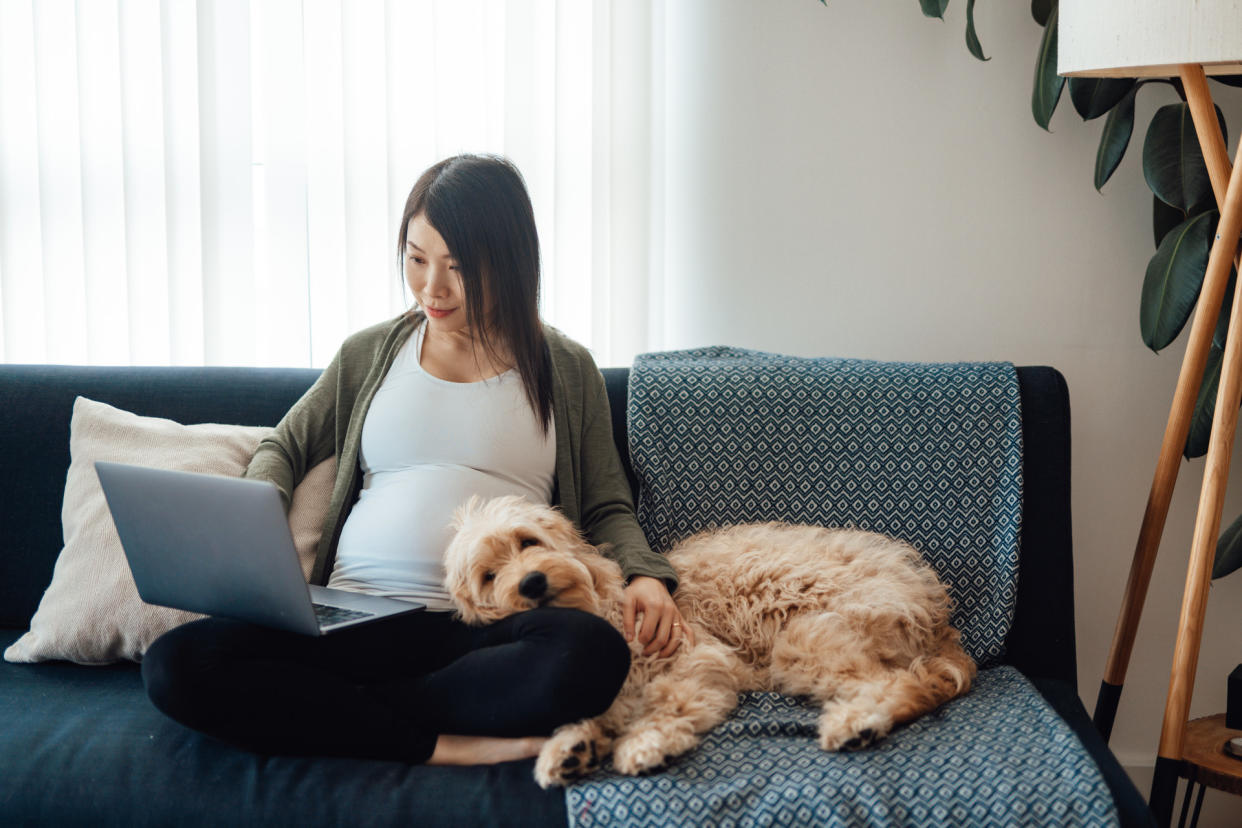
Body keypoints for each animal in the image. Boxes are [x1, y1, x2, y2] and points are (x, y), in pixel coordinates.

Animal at [442, 496, 973, 789]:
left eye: (527, 541)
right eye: (489, 576)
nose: (530, 583)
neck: (603, 609)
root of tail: (938, 618)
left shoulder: (694, 659)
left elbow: (669, 703)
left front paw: (648, 742)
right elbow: (601, 712)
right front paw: (572, 747)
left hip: (805, 638)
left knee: (902, 685)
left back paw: (857, 722)